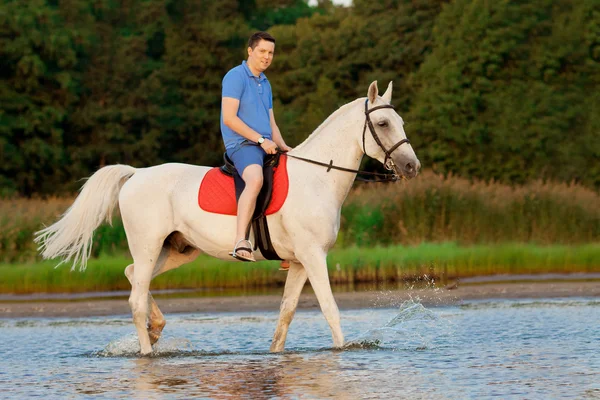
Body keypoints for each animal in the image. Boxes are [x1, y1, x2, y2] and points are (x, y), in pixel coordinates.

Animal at [36, 80, 422, 354]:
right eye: (383, 123)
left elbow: (285, 315)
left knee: (133, 278)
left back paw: (157, 329)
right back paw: (147, 350)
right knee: (134, 298)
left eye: (402, 121)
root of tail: (135, 175)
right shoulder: (314, 257)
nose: (411, 167)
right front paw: (343, 352)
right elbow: (330, 309)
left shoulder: (299, 263)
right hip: (148, 245)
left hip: (176, 250)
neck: (317, 177)